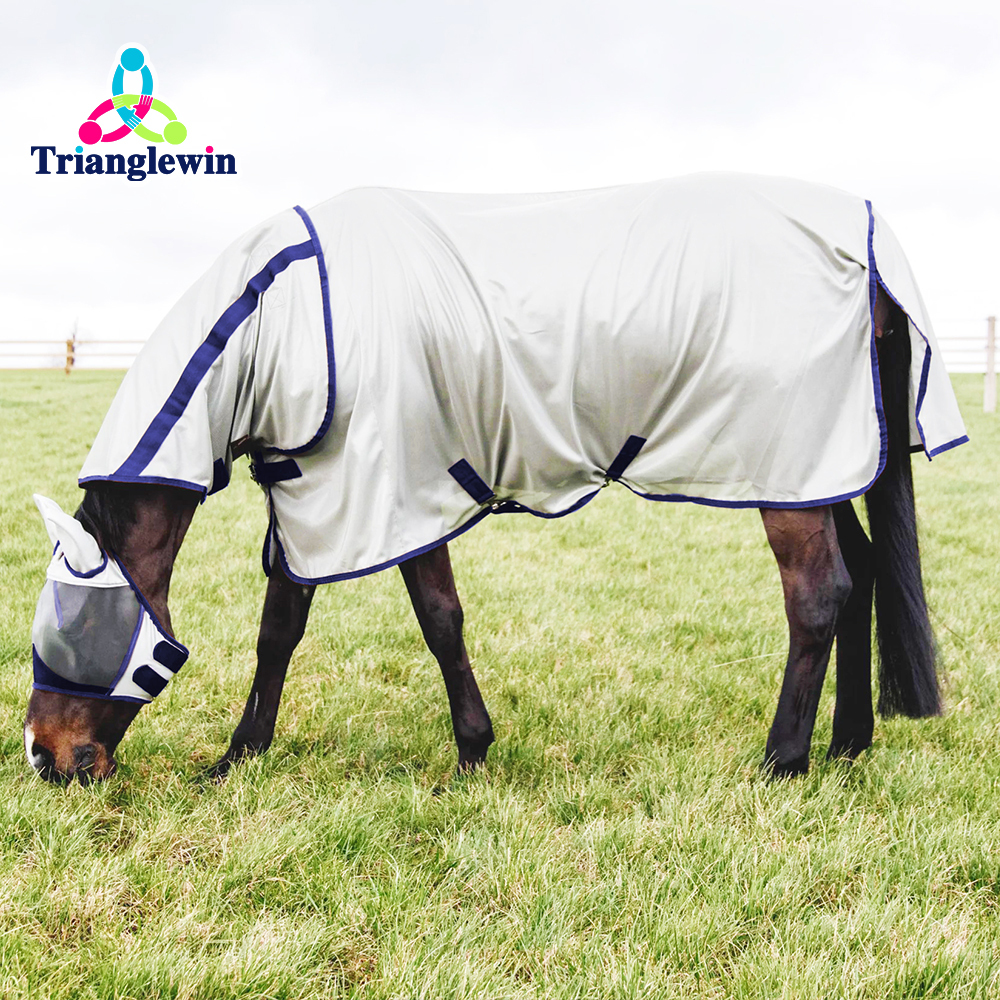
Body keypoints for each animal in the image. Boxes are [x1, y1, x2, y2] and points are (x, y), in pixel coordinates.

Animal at [23, 175, 967, 784]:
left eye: (70, 624)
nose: (42, 755)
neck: (287, 318)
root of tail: (864, 241)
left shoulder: (393, 494)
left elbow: (438, 620)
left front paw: (472, 751)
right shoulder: (314, 502)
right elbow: (279, 630)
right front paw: (235, 759)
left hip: (785, 475)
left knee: (818, 593)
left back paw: (783, 761)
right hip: (819, 465)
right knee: (862, 576)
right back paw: (847, 746)